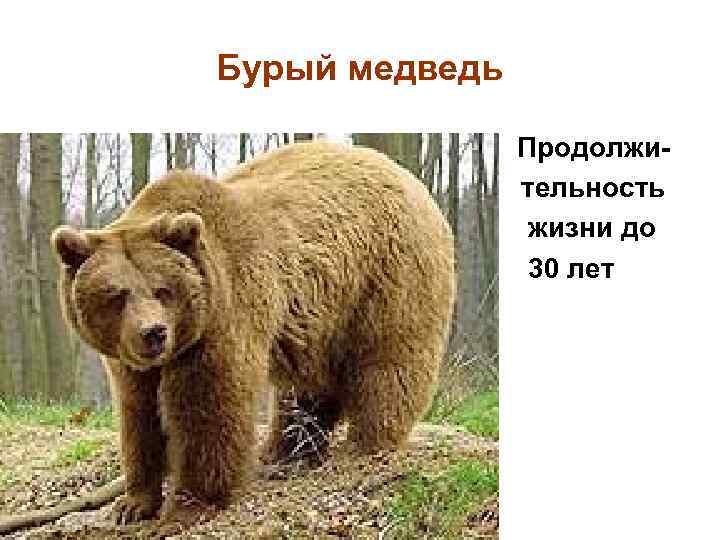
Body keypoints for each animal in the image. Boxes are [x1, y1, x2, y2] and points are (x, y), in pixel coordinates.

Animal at [51, 141, 456, 523]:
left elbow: (209, 406)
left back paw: (369, 442)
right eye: (116, 295)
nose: (154, 333)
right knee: (308, 386)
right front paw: (133, 504)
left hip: (386, 276)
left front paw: (190, 504)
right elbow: (139, 412)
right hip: (319, 318)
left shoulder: (222, 314)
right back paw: (287, 451)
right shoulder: (130, 359)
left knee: (388, 362)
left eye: (163, 289)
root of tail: (409, 178)